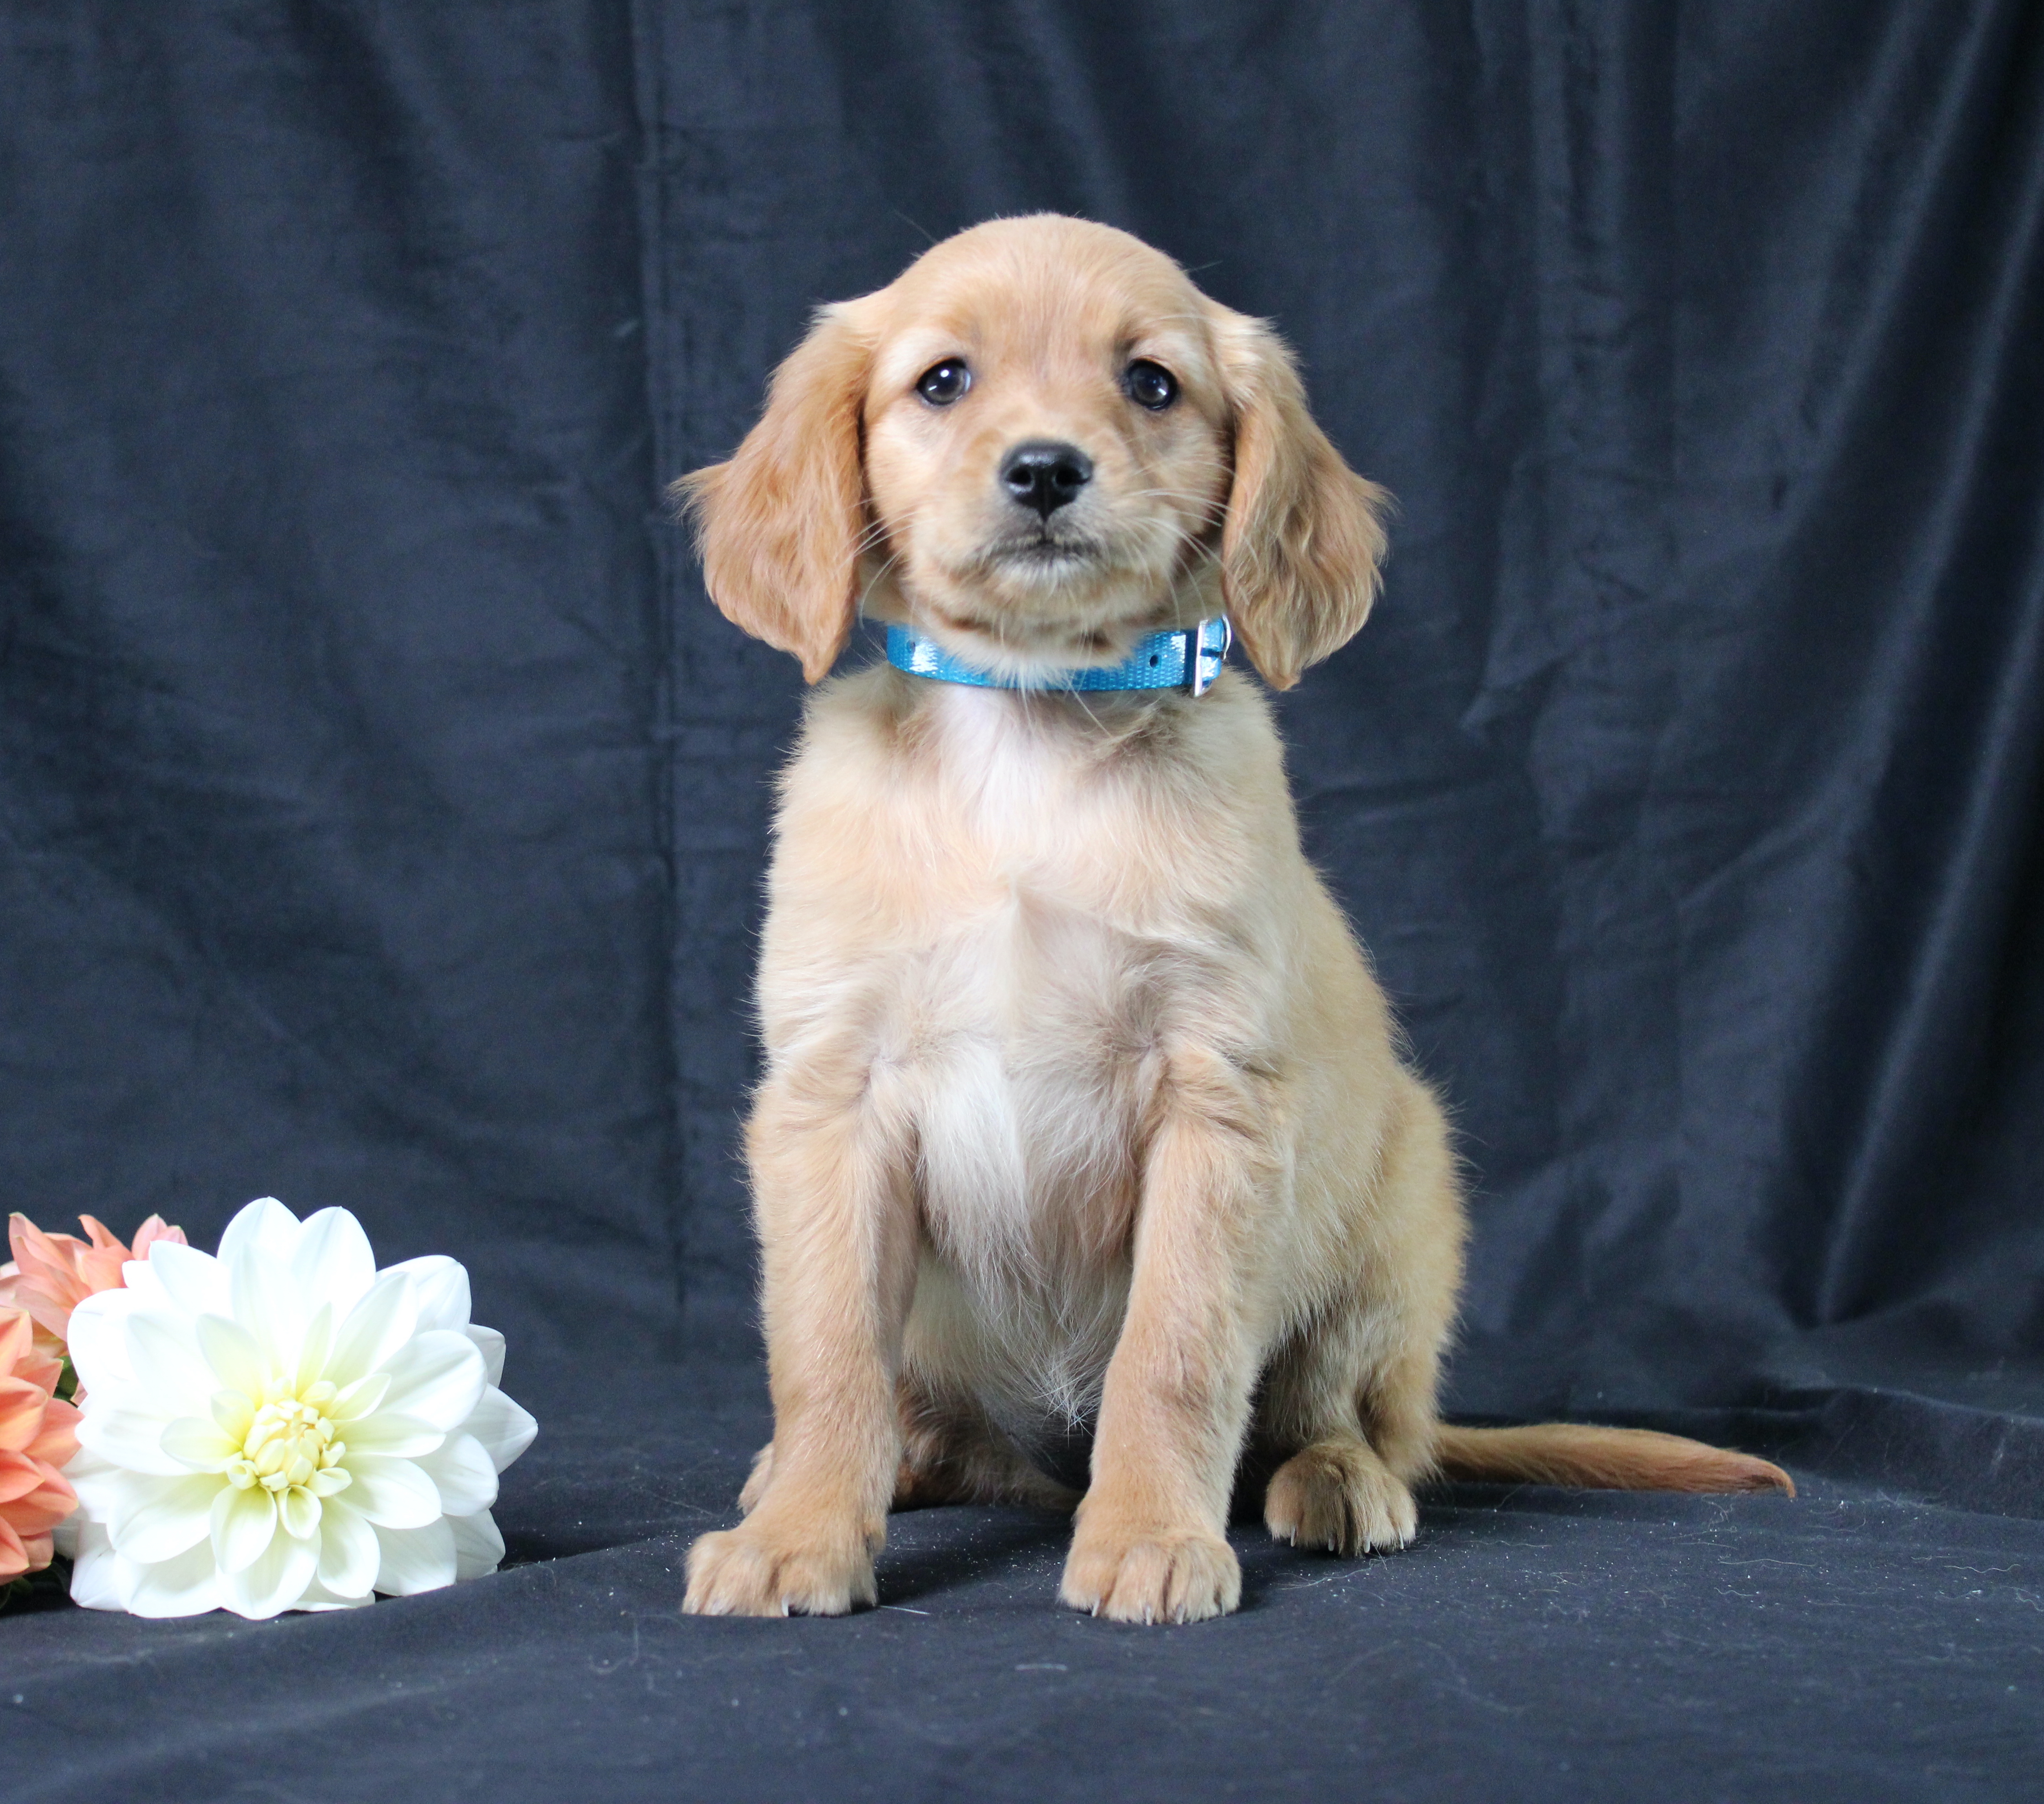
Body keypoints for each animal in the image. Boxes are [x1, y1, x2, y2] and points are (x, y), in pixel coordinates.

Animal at [674, 219, 1790, 1626]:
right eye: (942, 381)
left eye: (1149, 383)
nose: (1045, 469)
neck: (1029, 736)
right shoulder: (832, 1094)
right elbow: (823, 1356)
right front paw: (800, 1532)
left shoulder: (1212, 1095)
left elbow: (1176, 1351)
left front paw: (1150, 1534)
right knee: (924, 1414)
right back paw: (864, 1465)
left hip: (1398, 1217)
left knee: (1339, 1415)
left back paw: (1338, 1483)